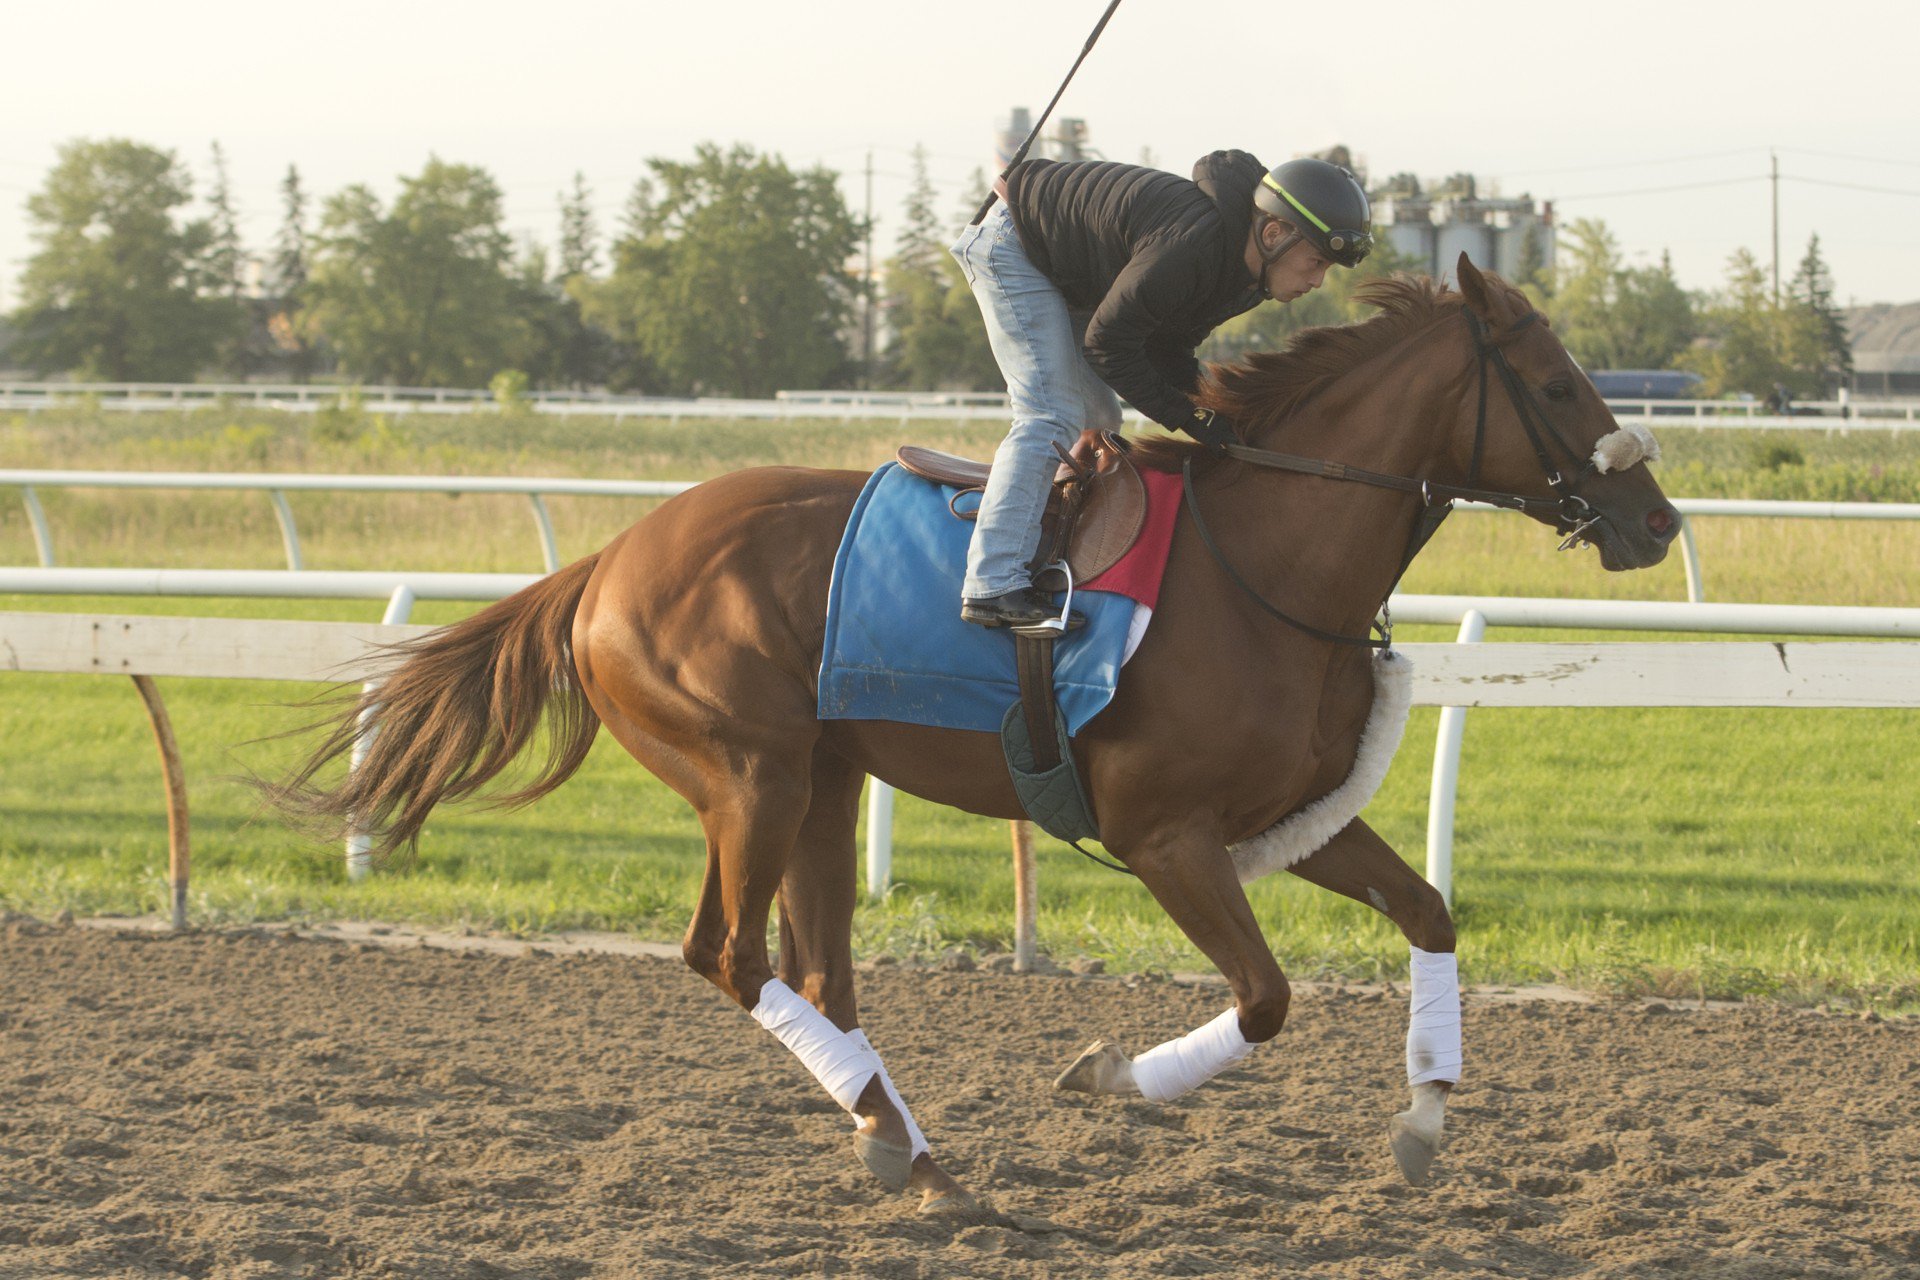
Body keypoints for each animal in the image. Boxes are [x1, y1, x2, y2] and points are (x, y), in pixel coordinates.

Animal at [270, 257, 1681, 1212]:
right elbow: (1267, 997)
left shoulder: (1286, 819)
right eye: (1555, 381)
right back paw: (907, 1143)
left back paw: (905, 1146)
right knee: (731, 953)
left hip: (825, 783)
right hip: (748, 772)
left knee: (817, 965)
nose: (1658, 520)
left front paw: (1428, 1119)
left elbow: (1430, 909)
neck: (1263, 564)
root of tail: (611, 557)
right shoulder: (1164, 833)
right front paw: (1108, 1075)